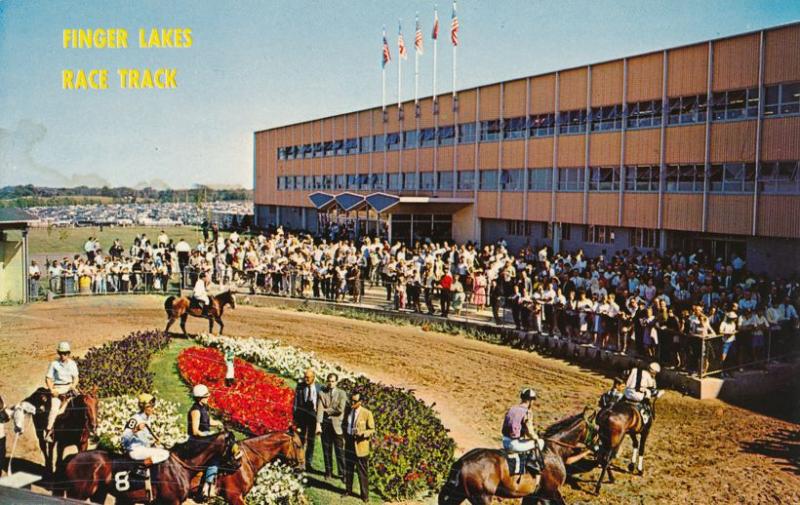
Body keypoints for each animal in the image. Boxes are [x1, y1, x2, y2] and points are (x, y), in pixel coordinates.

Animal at [61, 430, 241, 504]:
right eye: (233, 445)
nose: (238, 463)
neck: (180, 465)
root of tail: (73, 457)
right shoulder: (172, 502)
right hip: (79, 493)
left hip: (98, 493)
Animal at [438, 410, 600, 504]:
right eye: (597, 429)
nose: (599, 447)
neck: (555, 450)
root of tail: (462, 463)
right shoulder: (550, 493)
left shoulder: (533, 495)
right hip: (482, 497)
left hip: (457, 494)